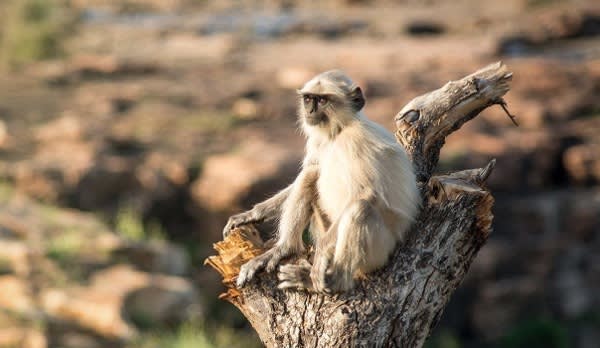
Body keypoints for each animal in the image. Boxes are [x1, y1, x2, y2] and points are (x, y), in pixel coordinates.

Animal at [223, 69, 420, 292]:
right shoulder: (318, 141)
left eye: (323, 100)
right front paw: (251, 215)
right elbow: (310, 171)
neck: (339, 132)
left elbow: (369, 193)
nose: (310, 110)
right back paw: (284, 249)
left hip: (379, 252)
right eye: (309, 98)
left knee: (360, 209)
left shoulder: (357, 139)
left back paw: (329, 281)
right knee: (311, 174)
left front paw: (320, 257)